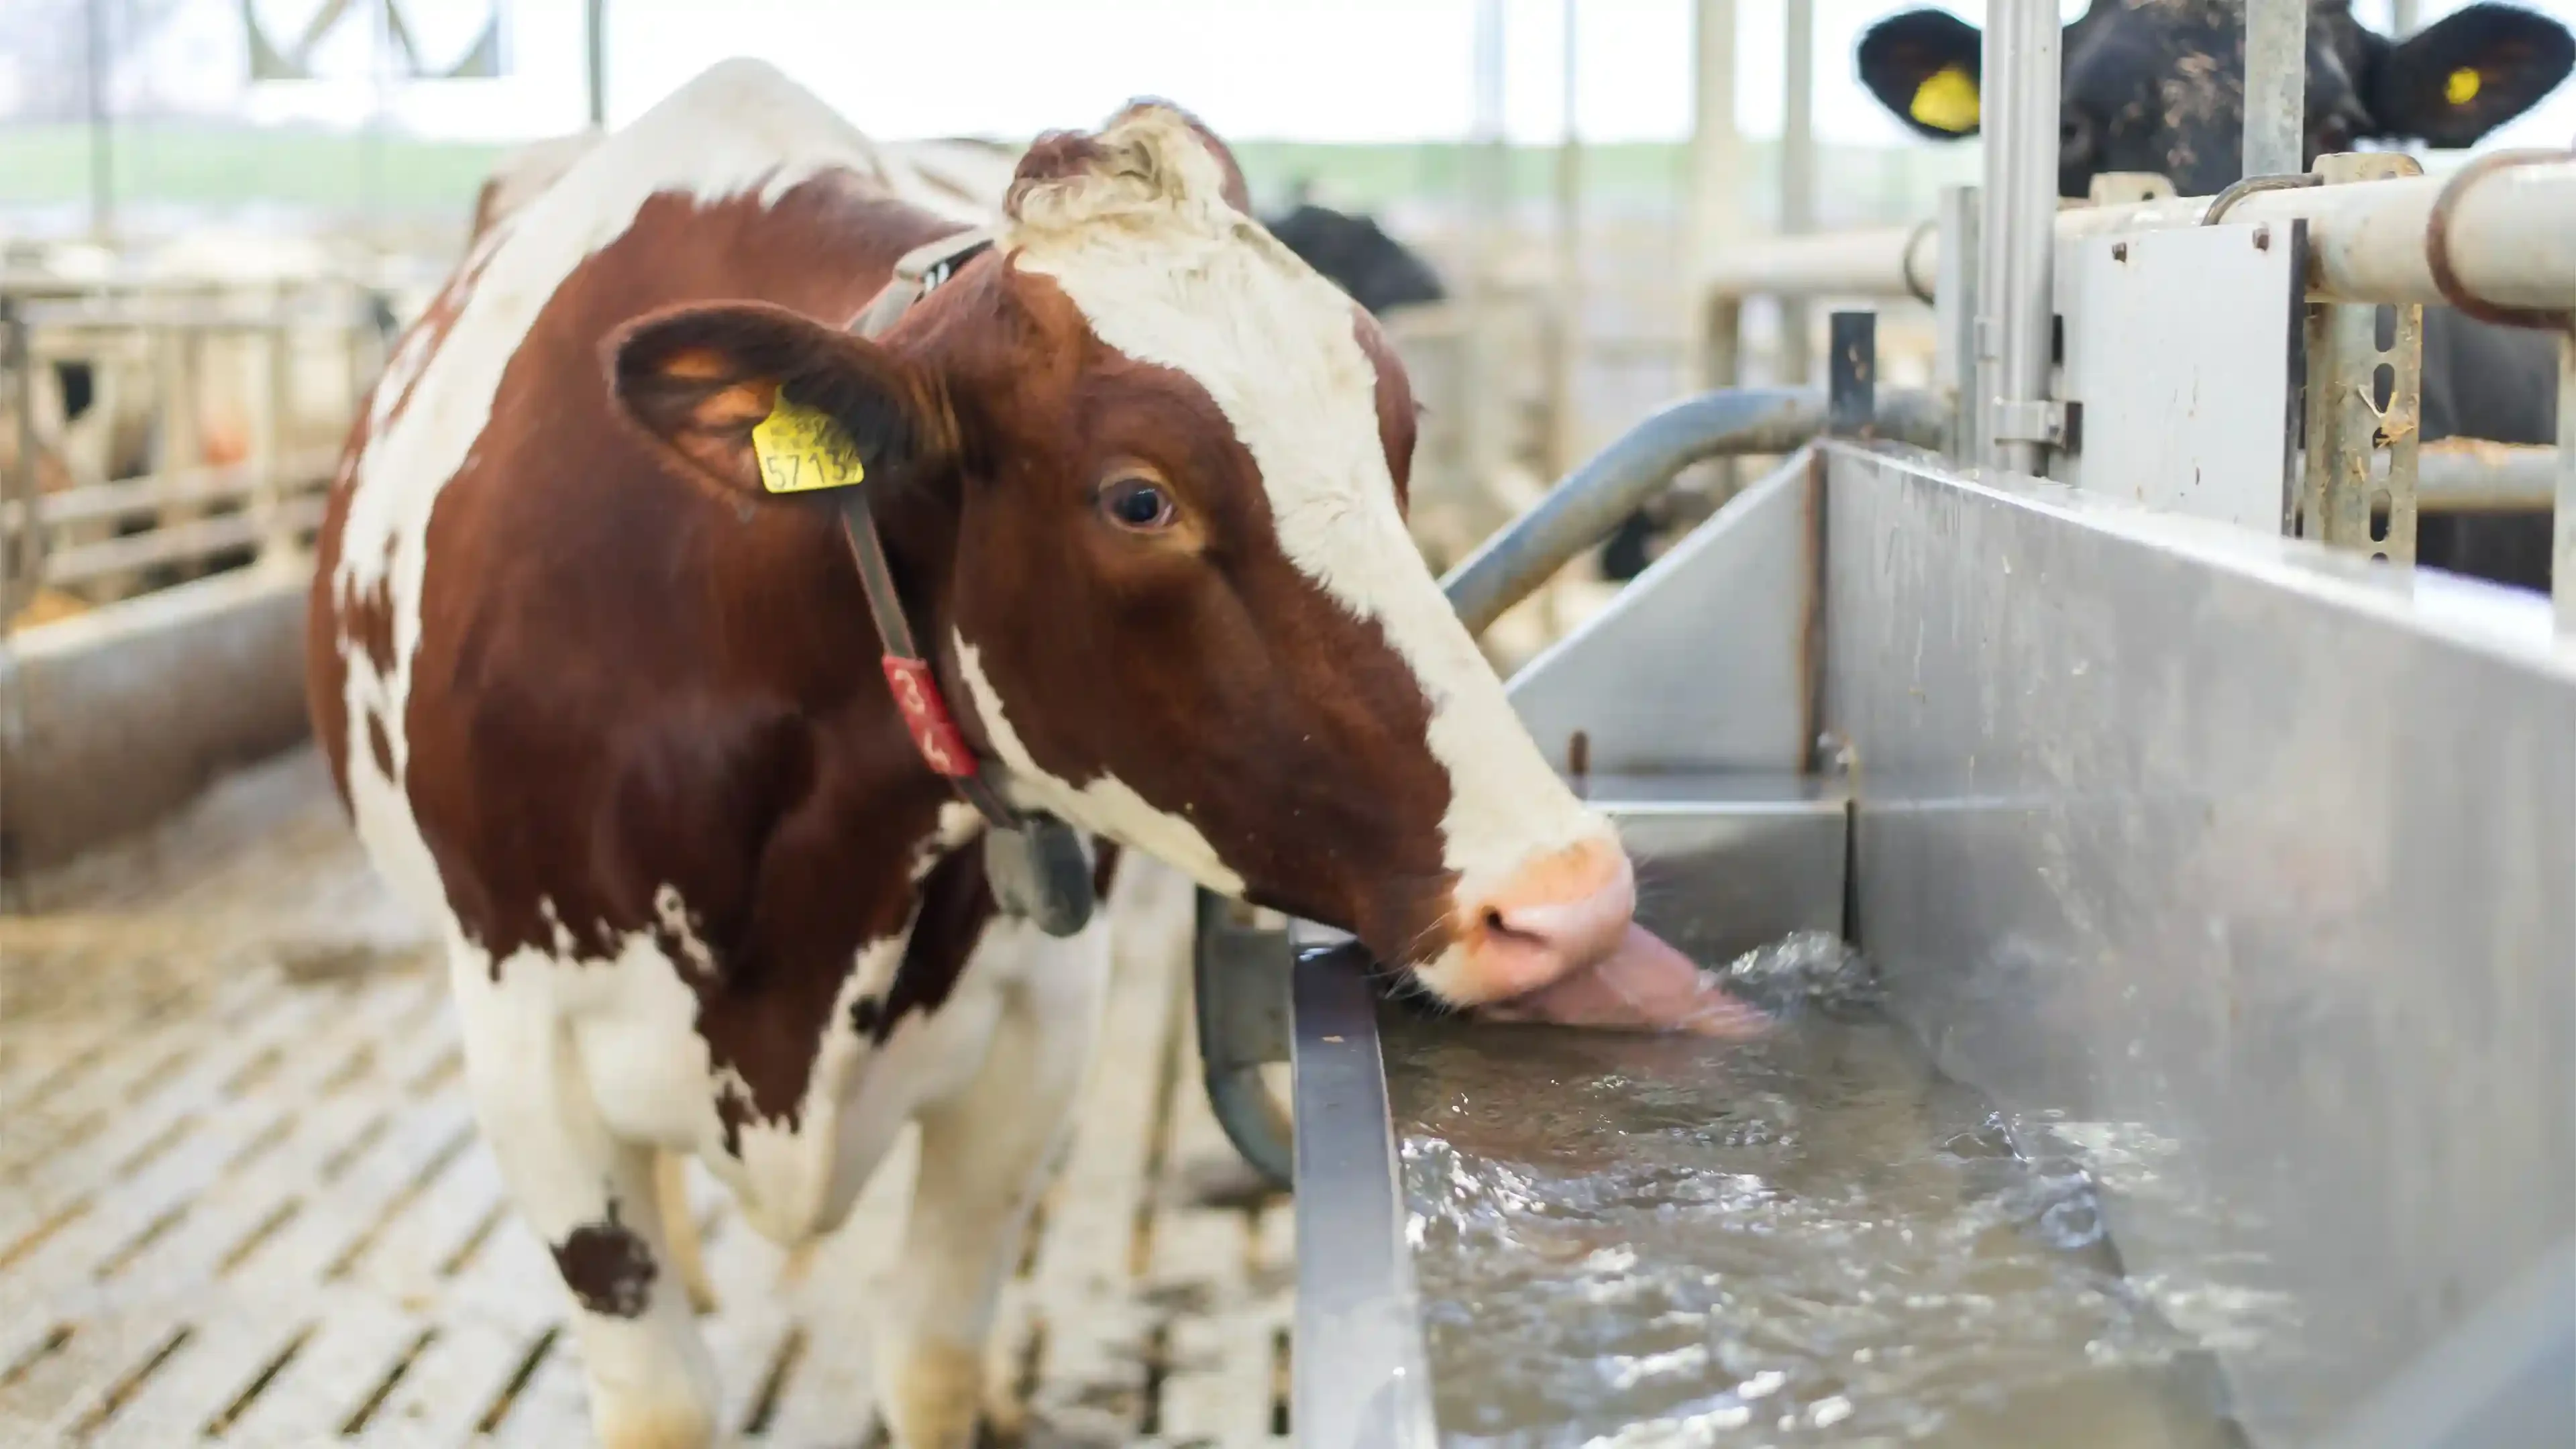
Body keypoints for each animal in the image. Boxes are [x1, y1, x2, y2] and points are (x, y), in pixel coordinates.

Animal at [307, 59, 1758, 1449]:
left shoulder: (1028, 1039)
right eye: (1140, 499)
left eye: (1401, 430)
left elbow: (933, 1364)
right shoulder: (527, 1054)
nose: (1570, 900)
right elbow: (659, 1400)